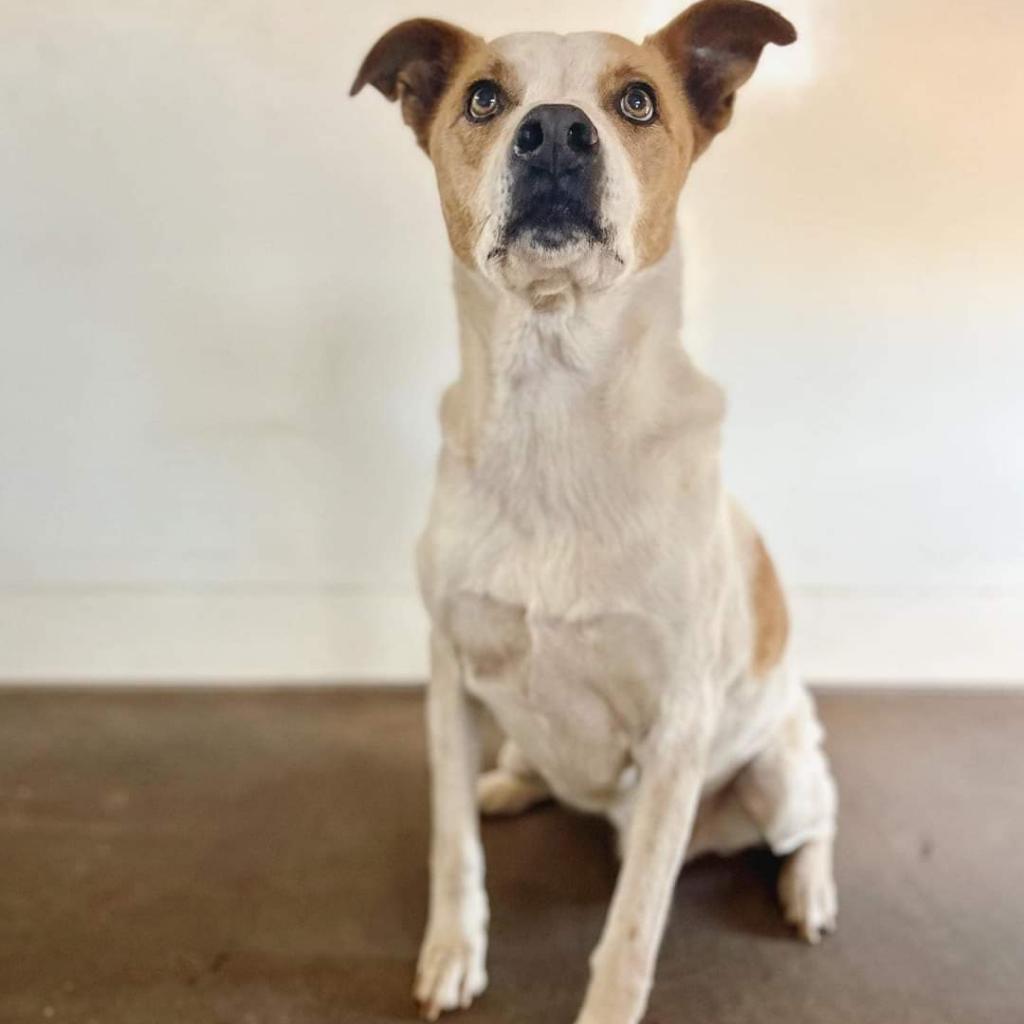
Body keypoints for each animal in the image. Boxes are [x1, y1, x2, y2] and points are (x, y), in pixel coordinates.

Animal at [352, 4, 839, 1019]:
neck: (555, 404)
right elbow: (451, 844)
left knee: (815, 817)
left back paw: (810, 888)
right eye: (484, 98)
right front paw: (453, 952)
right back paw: (512, 783)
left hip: (777, 773)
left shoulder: (679, 726)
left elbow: (633, 925)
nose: (554, 132)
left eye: (638, 101)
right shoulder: (449, 675)